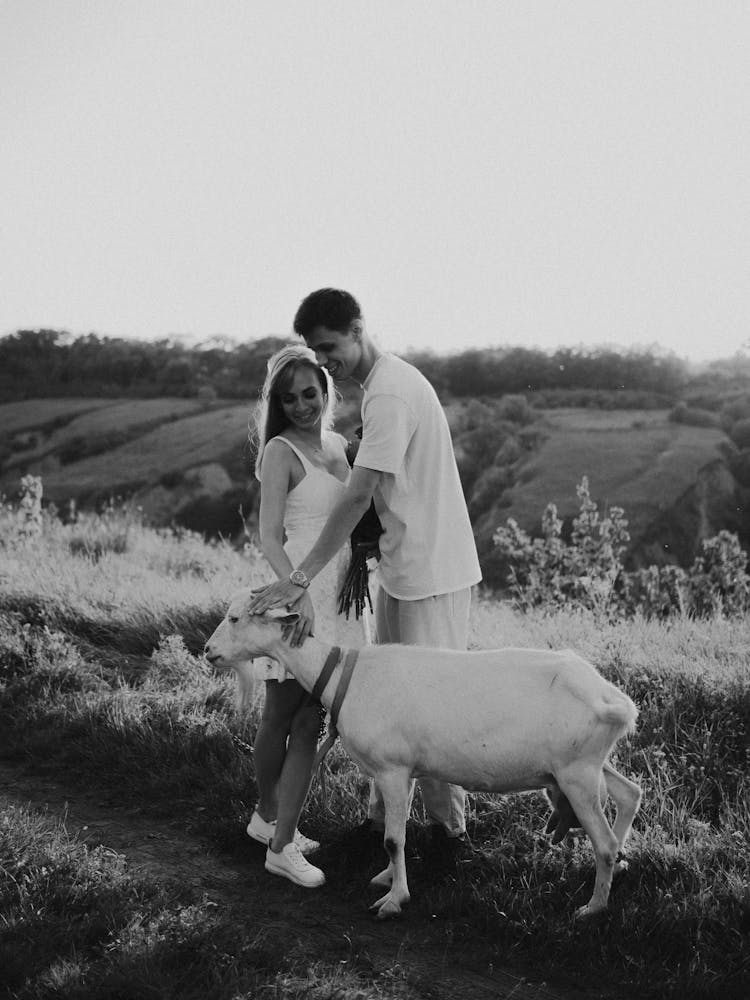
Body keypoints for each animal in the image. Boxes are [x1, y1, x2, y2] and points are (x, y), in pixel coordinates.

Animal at [206, 584, 640, 920]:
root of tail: (614, 701)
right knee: (629, 794)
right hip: (587, 765)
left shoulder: (392, 768)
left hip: (576, 773)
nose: (209, 651)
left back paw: (593, 907)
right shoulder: (406, 770)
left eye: (235, 618)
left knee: (603, 842)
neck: (347, 674)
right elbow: (395, 834)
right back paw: (618, 867)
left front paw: (393, 900)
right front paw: (386, 878)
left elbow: (393, 840)